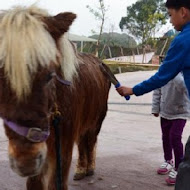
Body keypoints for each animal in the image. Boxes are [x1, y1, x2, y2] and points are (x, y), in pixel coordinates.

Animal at [0, 5, 110, 190]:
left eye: (50, 75)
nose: (25, 163)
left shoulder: (62, 146)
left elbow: (56, 183)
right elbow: (35, 183)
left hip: (97, 121)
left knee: (91, 141)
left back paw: (90, 168)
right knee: (83, 142)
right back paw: (81, 170)